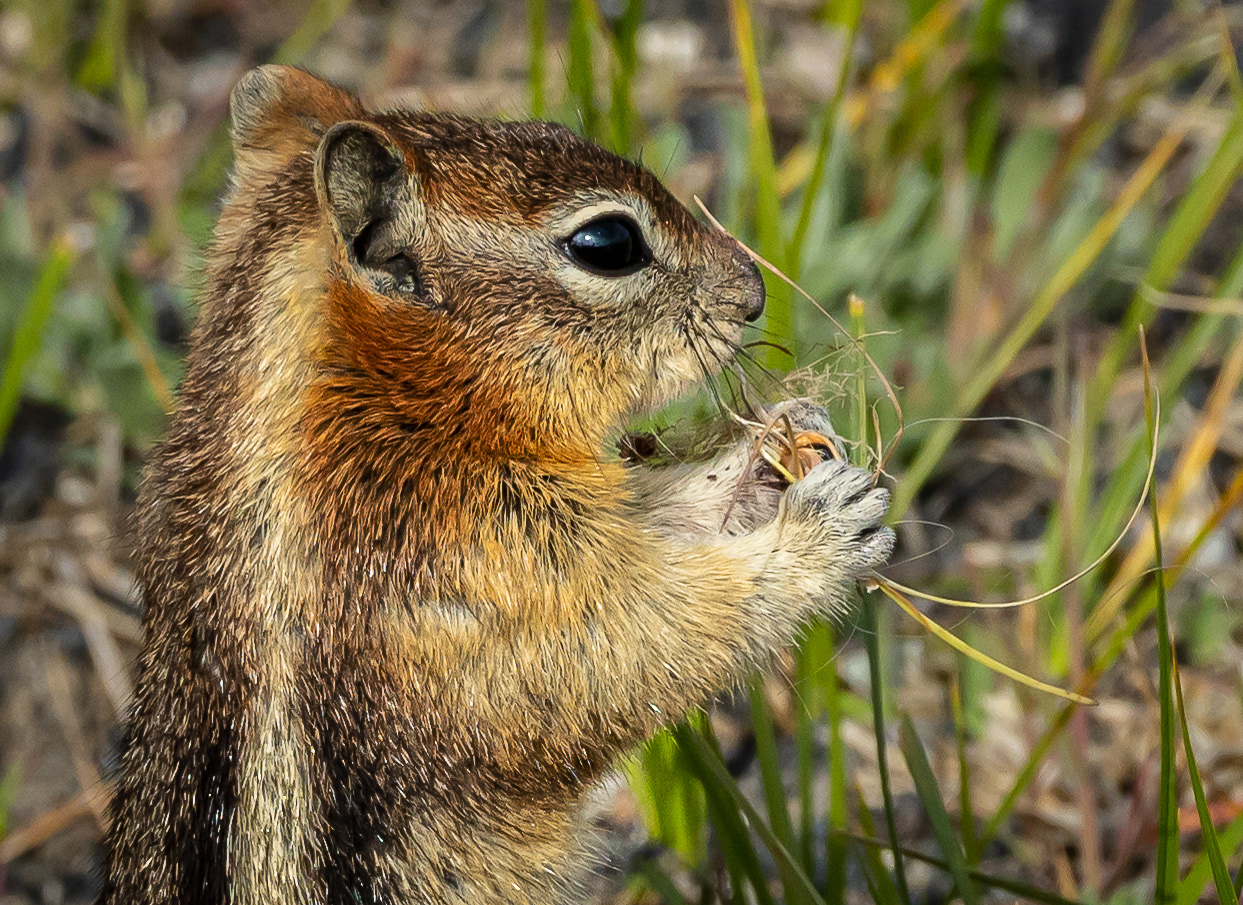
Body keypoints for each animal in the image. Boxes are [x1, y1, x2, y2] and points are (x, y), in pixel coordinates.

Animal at [99, 65, 895, 905]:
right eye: (607, 244)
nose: (751, 293)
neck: (368, 413)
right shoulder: (482, 577)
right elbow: (649, 642)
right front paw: (819, 531)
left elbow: (659, 516)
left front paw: (773, 449)